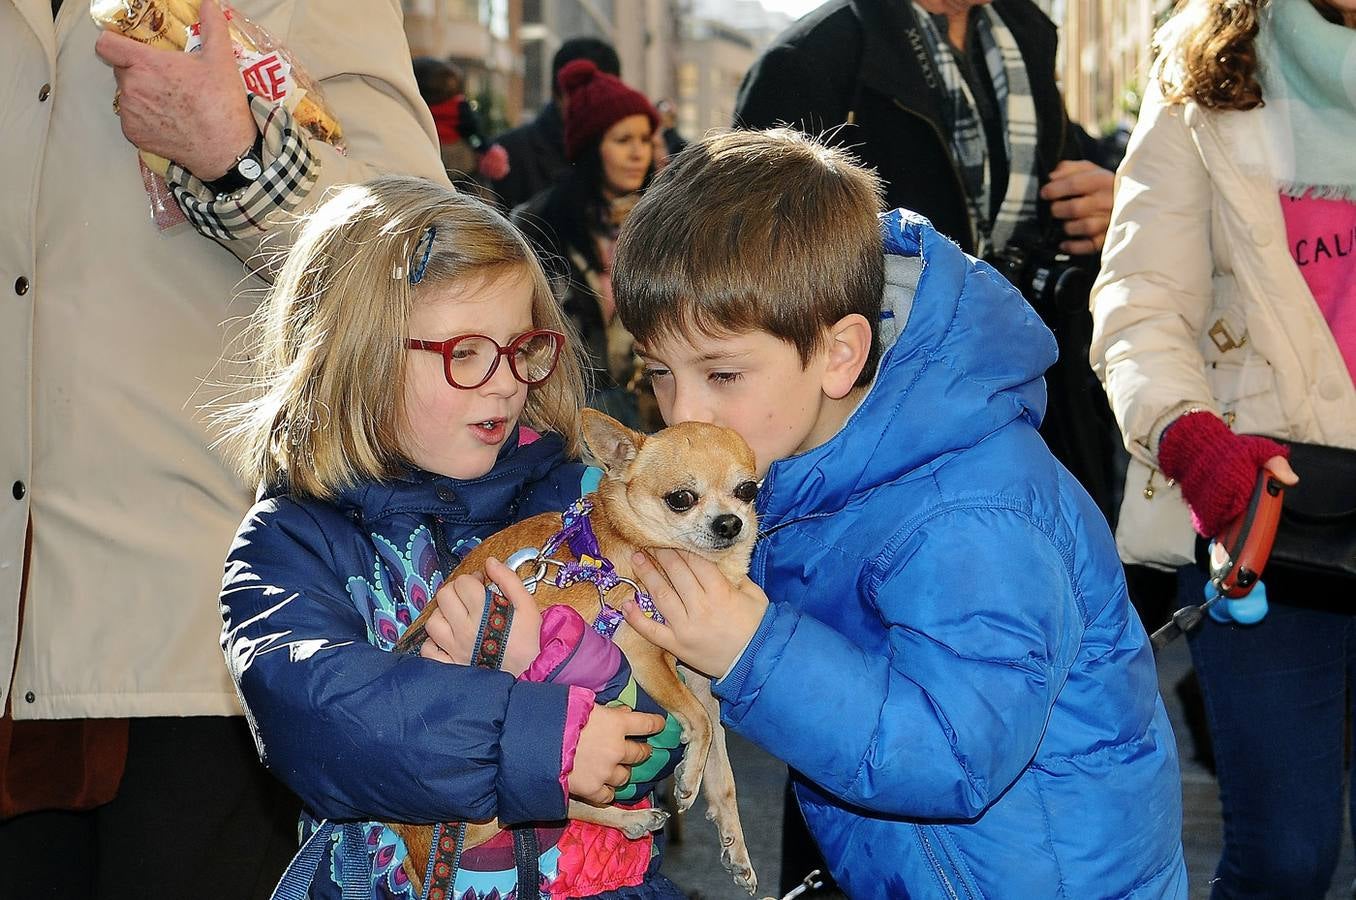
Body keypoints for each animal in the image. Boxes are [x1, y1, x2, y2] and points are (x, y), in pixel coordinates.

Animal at [393, 412, 759, 894]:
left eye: (747, 490)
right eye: (681, 499)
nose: (730, 523)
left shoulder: (701, 681)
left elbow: (724, 769)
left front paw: (736, 848)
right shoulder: (643, 654)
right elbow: (697, 721)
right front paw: (688, 781)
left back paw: (630, 821)